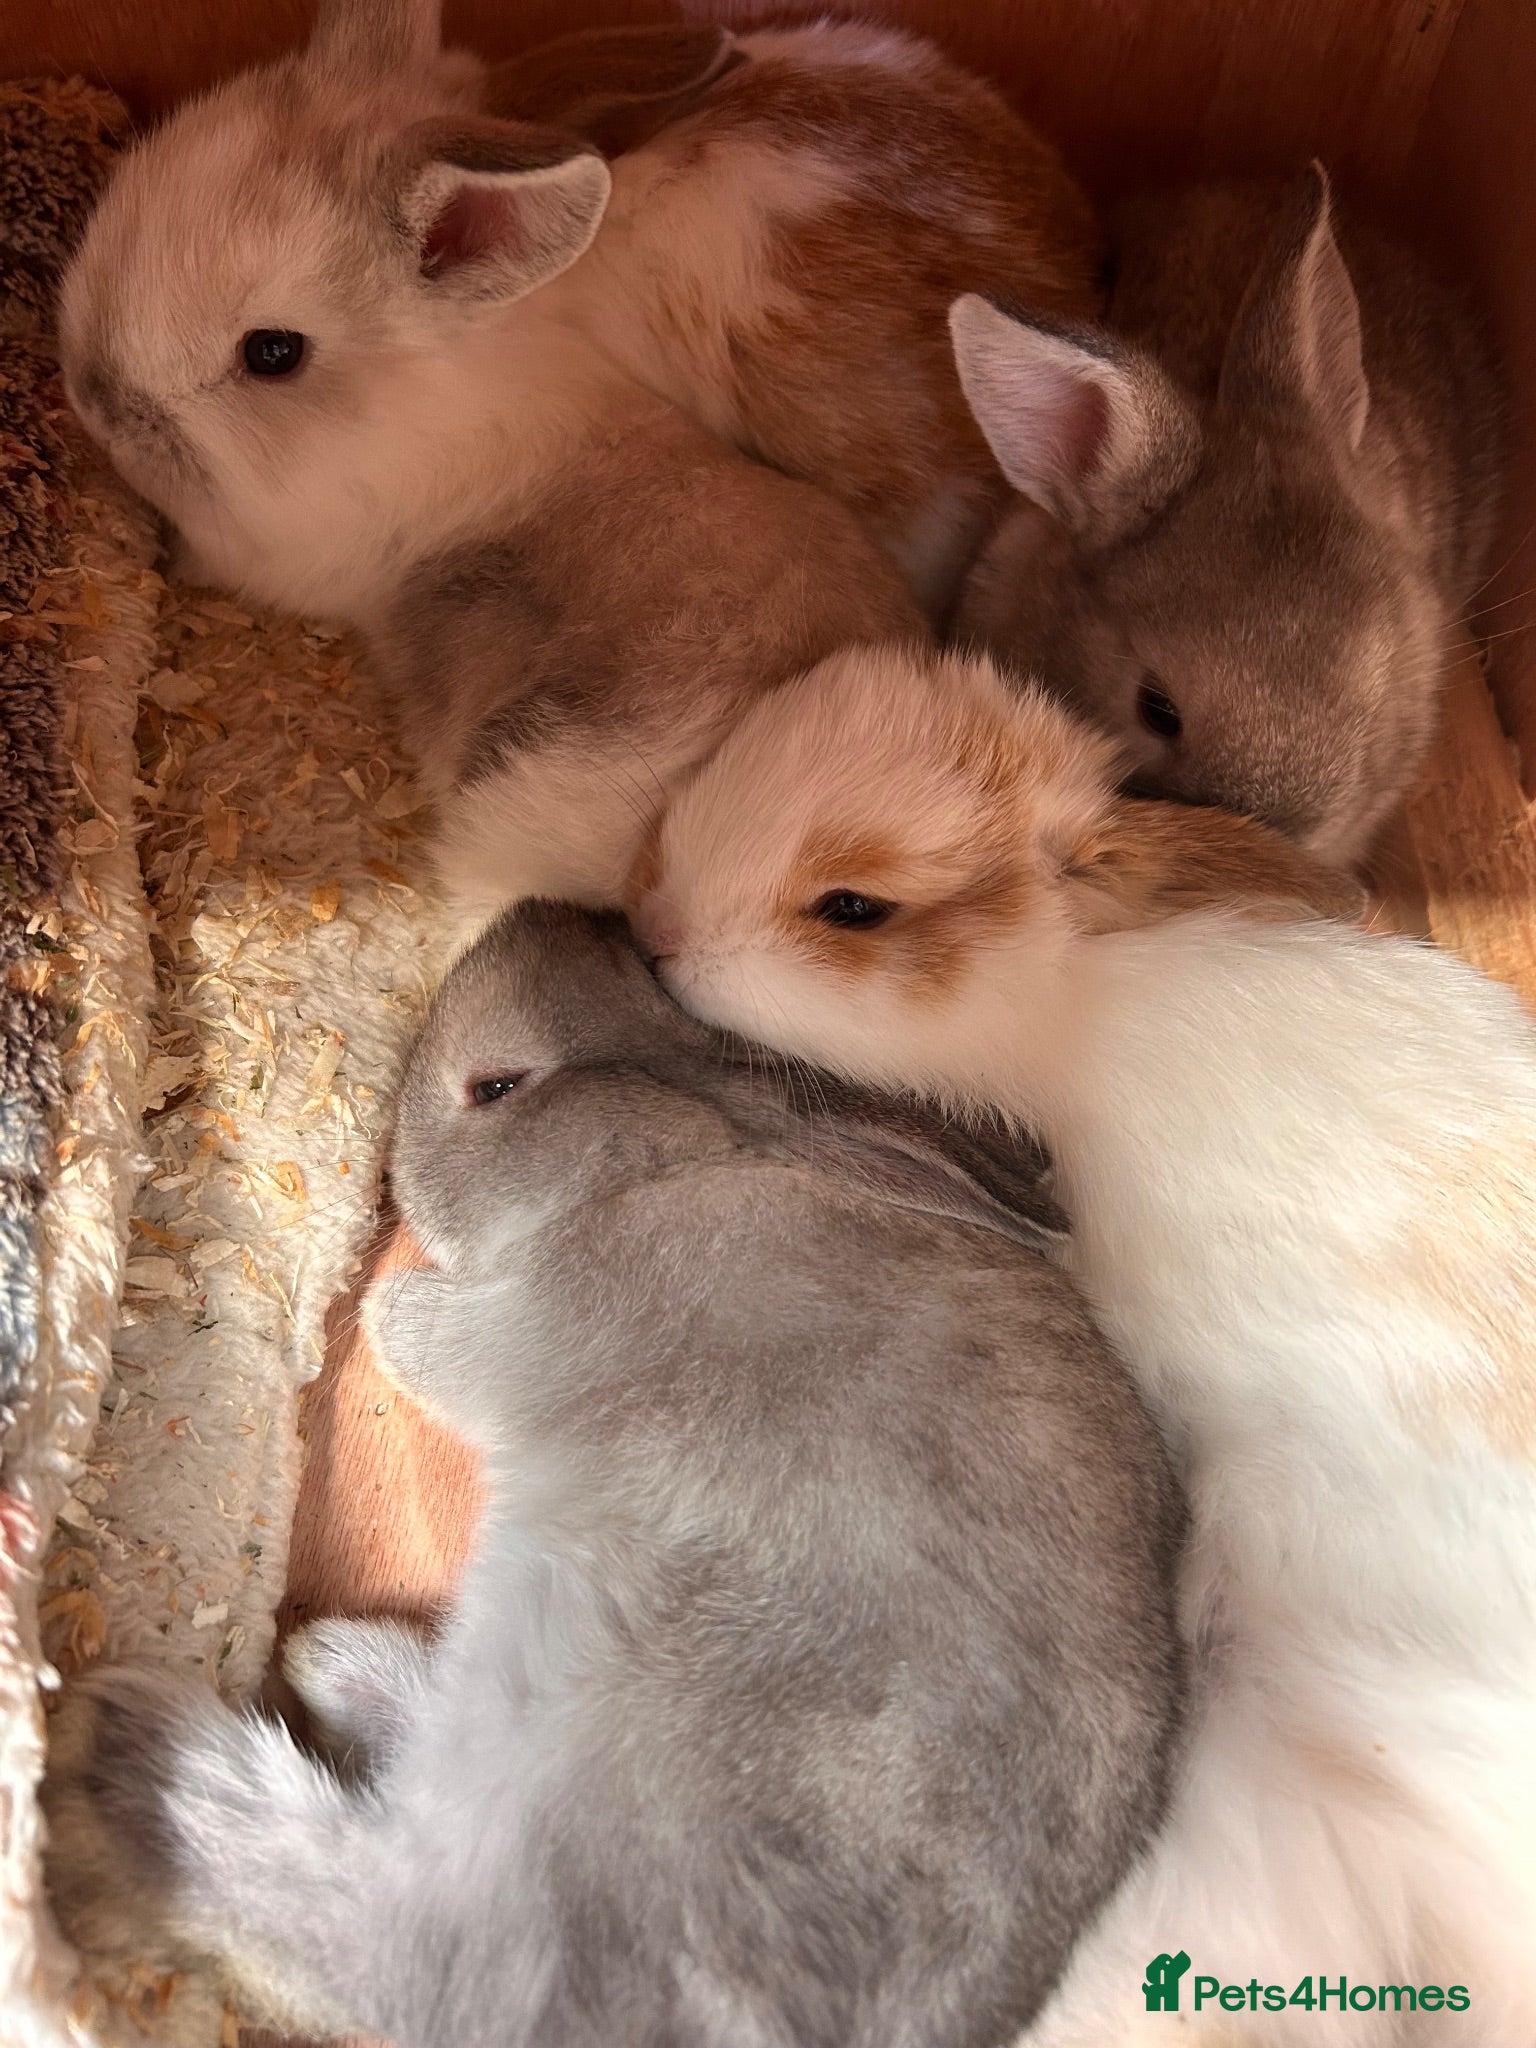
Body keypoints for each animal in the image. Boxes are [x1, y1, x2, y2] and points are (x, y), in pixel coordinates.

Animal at [46, 901, 1187, 2048]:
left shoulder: (531, 1321)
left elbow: (426, 1336)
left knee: (392, 1925)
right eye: (645, 974)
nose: (551, 910)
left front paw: (387, 1306)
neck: (661, 1157)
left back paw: (125, 1753)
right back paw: (335, 1662)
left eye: (496, 1087)